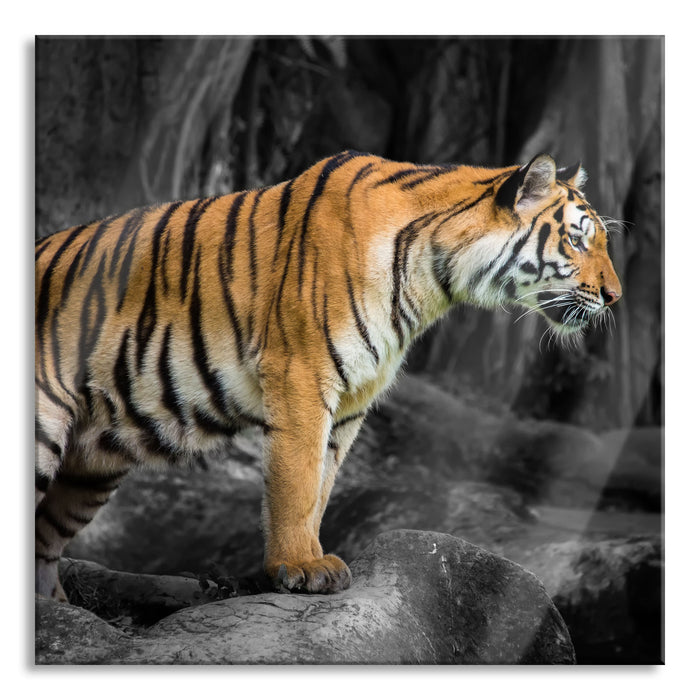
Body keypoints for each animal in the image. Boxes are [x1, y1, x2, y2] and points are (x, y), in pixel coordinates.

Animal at [35, 150, 621, 600]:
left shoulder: (353, 399)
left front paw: (315, 557)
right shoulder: (300, 373)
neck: (433, 278)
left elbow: (322, 486)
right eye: (576, 241)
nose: (614, 296)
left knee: (44, 540)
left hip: (91, 469)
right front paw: (299, 566)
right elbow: (296, 479)